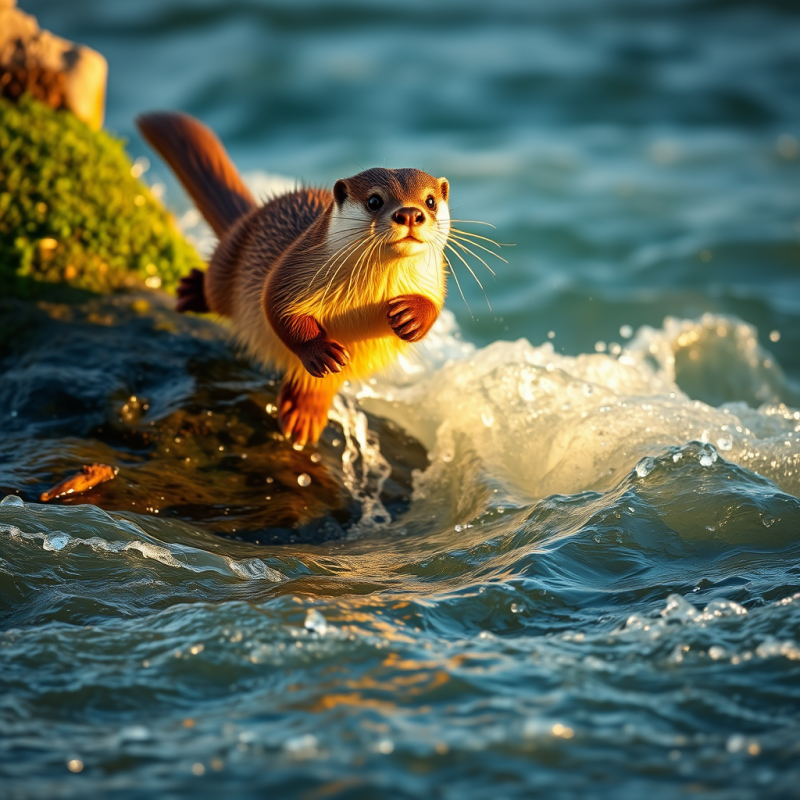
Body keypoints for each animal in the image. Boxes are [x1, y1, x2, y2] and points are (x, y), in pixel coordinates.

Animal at [137, 112, 450, 446]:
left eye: (430, 201)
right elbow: (275, 306)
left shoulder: (435, 282)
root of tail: (252, 215)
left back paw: (304, 417)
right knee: (216, 289)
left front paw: (412, 317)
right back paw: (192, 290)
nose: (410, 214)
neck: (364, 306)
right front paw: (319, 350)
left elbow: (436, 307)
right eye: (375, 201)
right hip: (228, 263)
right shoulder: (292, 270)